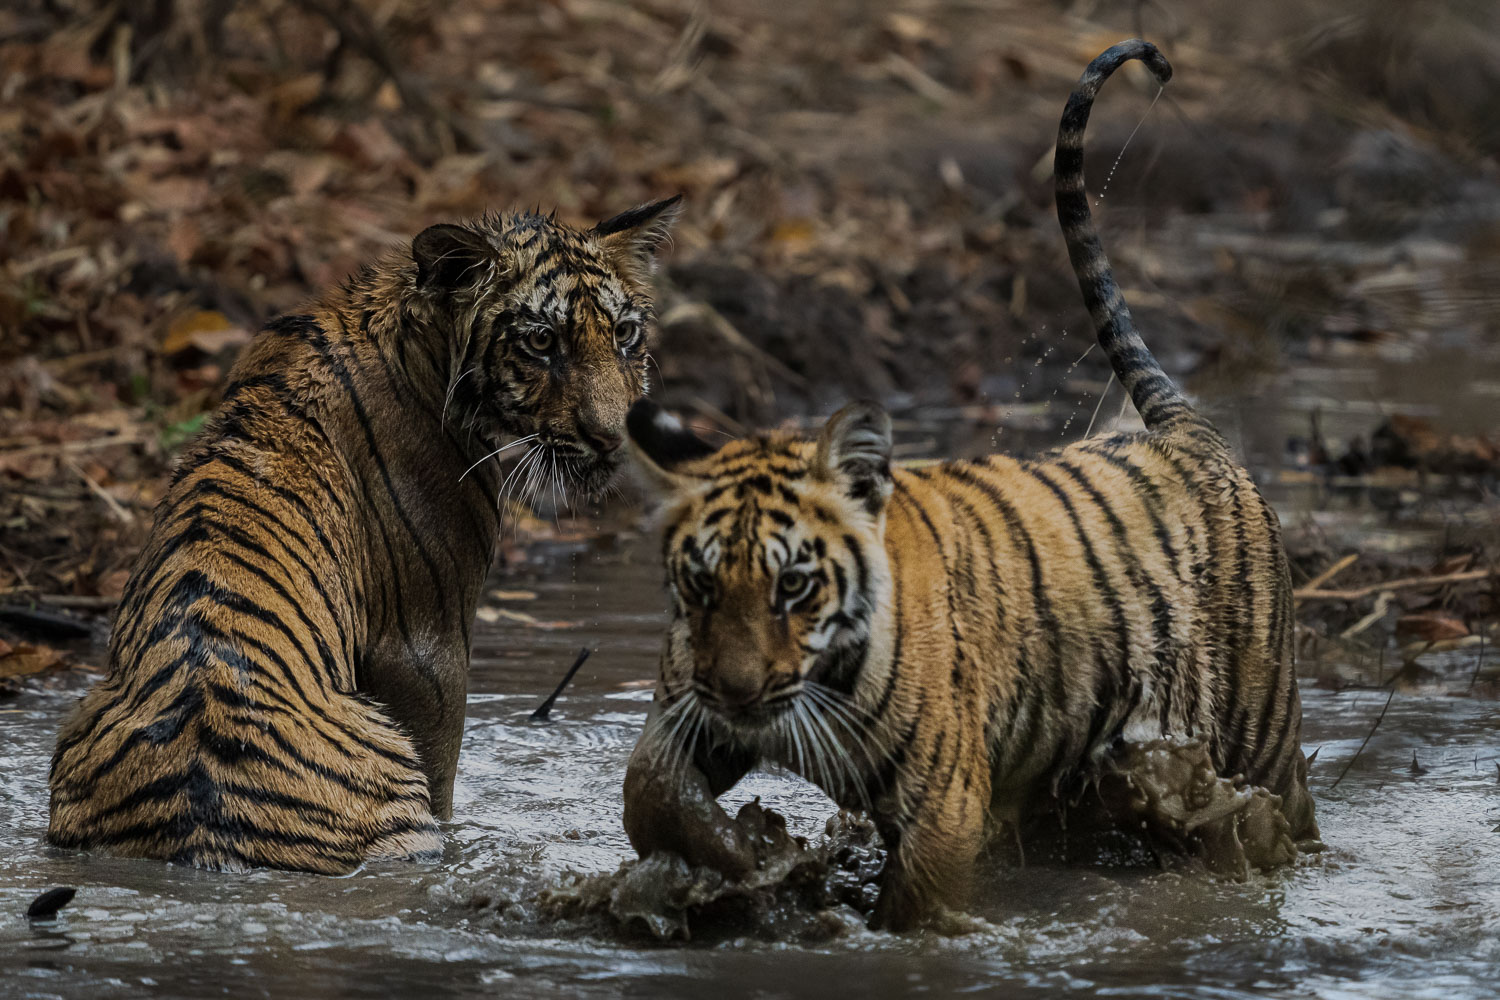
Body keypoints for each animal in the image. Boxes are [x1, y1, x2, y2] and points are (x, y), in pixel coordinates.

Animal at [619, 40, 1319, 931]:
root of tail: (1184, 430)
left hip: (1262, 734)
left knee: (1290, 813)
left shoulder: (943, 800)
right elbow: (651, 788)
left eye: (795, 586)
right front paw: (733, 859)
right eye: (702, 585)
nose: (740, 696)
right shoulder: (690, 710)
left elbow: (914, 913)